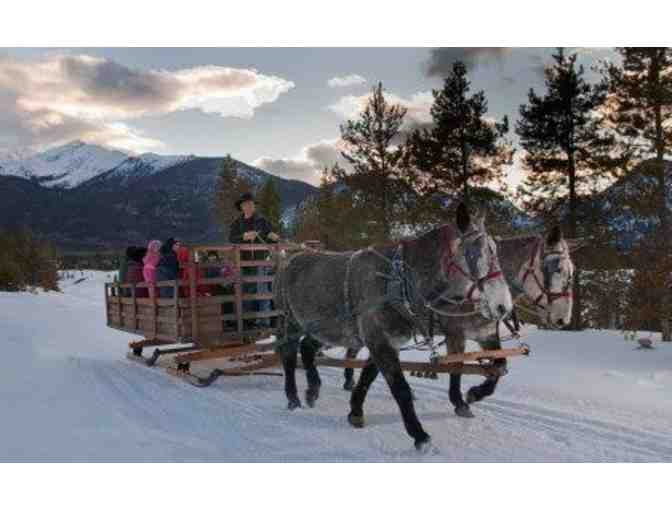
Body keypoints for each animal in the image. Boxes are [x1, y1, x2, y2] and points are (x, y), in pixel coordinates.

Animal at [273, 203, 513, 451]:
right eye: (474, 253)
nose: (503, 305)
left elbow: (368, 376)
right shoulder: (381, 340)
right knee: (288, 354)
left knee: (307, 348)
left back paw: (312, 389)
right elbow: (401, 388)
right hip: (288, 321)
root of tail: (289, 258)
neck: (397, 283)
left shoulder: (389, 341)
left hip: (329, 329)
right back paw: (293, 398)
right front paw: (420, 435)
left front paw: (355, 411)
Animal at [342, 225, 578, 419]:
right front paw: (460, 401)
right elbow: (457, 365)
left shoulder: (486, 334)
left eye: (571, 271)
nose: (563, 318)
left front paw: (475, 393)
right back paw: (349, 380)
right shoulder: (455, 333)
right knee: (354, 350)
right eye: (555, 269)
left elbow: (500, 366)